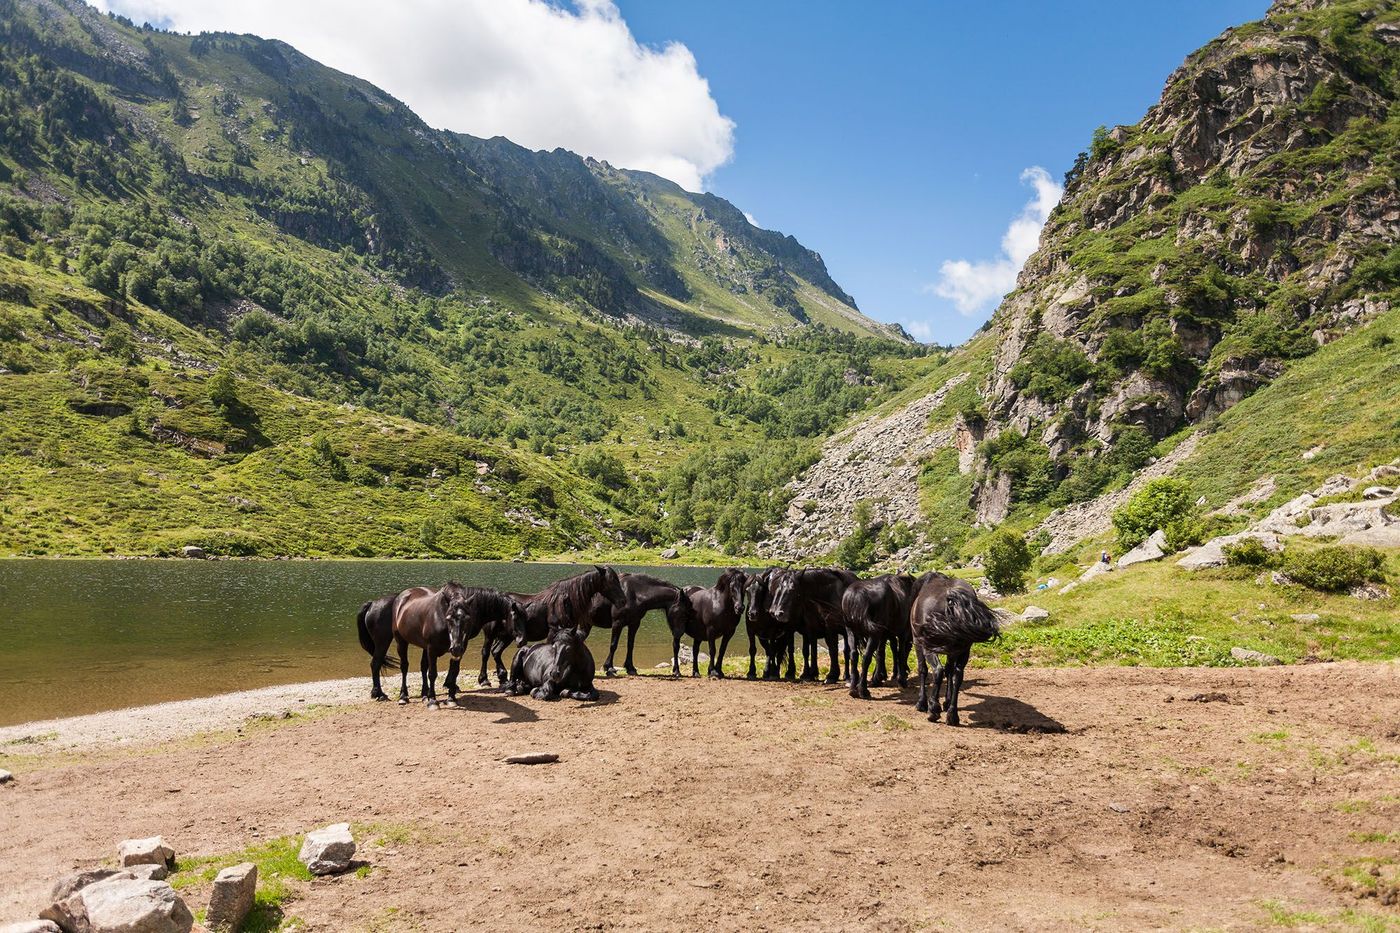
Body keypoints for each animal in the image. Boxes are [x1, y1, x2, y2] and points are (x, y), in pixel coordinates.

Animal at [476, 566, 626, 686]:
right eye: (611, 581)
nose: (623, 601)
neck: (565, 601)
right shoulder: (553, 631)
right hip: (490, 634)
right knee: (485, 652)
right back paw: (484, 680)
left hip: (506, 636)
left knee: (496, 651)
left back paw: (502, 677)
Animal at [909, 572, 1002, 725]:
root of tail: (951, 598)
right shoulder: (952, 652)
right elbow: (949, 671)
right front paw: (946, 702)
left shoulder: (918, 643)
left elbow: (923, 670)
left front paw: (922, 703)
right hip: (963, 649)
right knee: (957, 675)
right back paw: (952, 714)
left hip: (928, 647)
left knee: (938, 671)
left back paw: (933, 710)